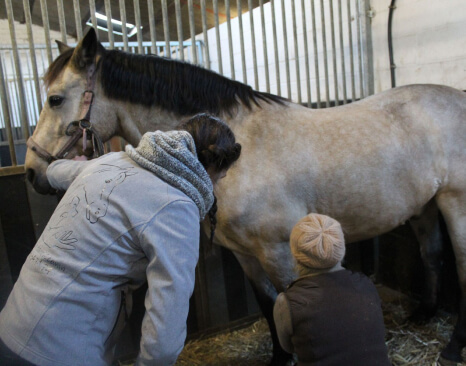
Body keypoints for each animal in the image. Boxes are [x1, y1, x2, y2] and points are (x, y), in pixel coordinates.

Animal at [23, 29, 466, 366]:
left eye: (55, 98)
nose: (31, 172)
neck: (244, 146)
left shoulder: (280, 251)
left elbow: (290, 303)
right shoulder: (244, 254)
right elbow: (269, 306)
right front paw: (278, 359)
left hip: (455, 204)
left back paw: (452, 347)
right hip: (424, 206)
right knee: (432, 256)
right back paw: (424, 313)